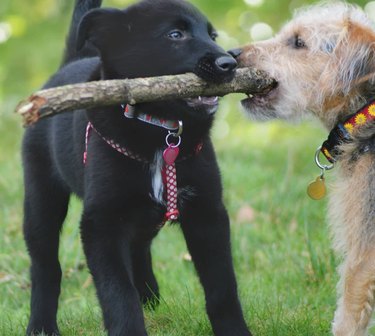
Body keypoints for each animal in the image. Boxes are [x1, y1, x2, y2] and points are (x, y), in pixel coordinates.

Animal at [22, 0, 253, 336]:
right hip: (41, 197)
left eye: (212, 35)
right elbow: (118, 292)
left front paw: (235, 330)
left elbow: (222, 287)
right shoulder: (101, 223)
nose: (229, 63)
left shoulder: (208, 213)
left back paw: (150, 299)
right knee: (45, 265)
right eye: (175, 34)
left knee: (139, 249)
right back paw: (41, 325)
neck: (162, 130)